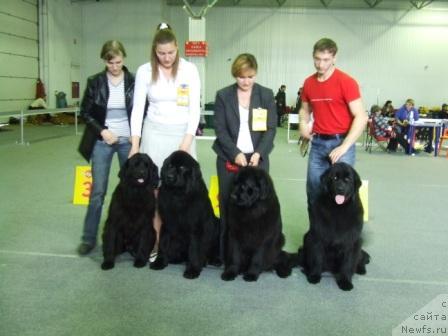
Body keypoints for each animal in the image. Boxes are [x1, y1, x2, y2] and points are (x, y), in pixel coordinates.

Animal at [150, 151, 220, 280]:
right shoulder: (167, 224)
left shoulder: (195, 229)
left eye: (182, 167)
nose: (169, 177)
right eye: (170, 166)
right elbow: (163, 244)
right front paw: (159, 262)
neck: (178, 195)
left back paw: (213, 260)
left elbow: (194, 249)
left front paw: (192, 270)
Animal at [300, 161, 370, 290]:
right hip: (306, 240)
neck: (338, 209)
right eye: (334, 178)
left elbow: (348, 263)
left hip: (359, 243)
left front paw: (345, 282)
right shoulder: (317, 237)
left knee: (360, 258)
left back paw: (361, 269)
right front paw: (314, 276)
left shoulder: (352, 241)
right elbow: (317, 258)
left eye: (347, 179)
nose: (340, 188)